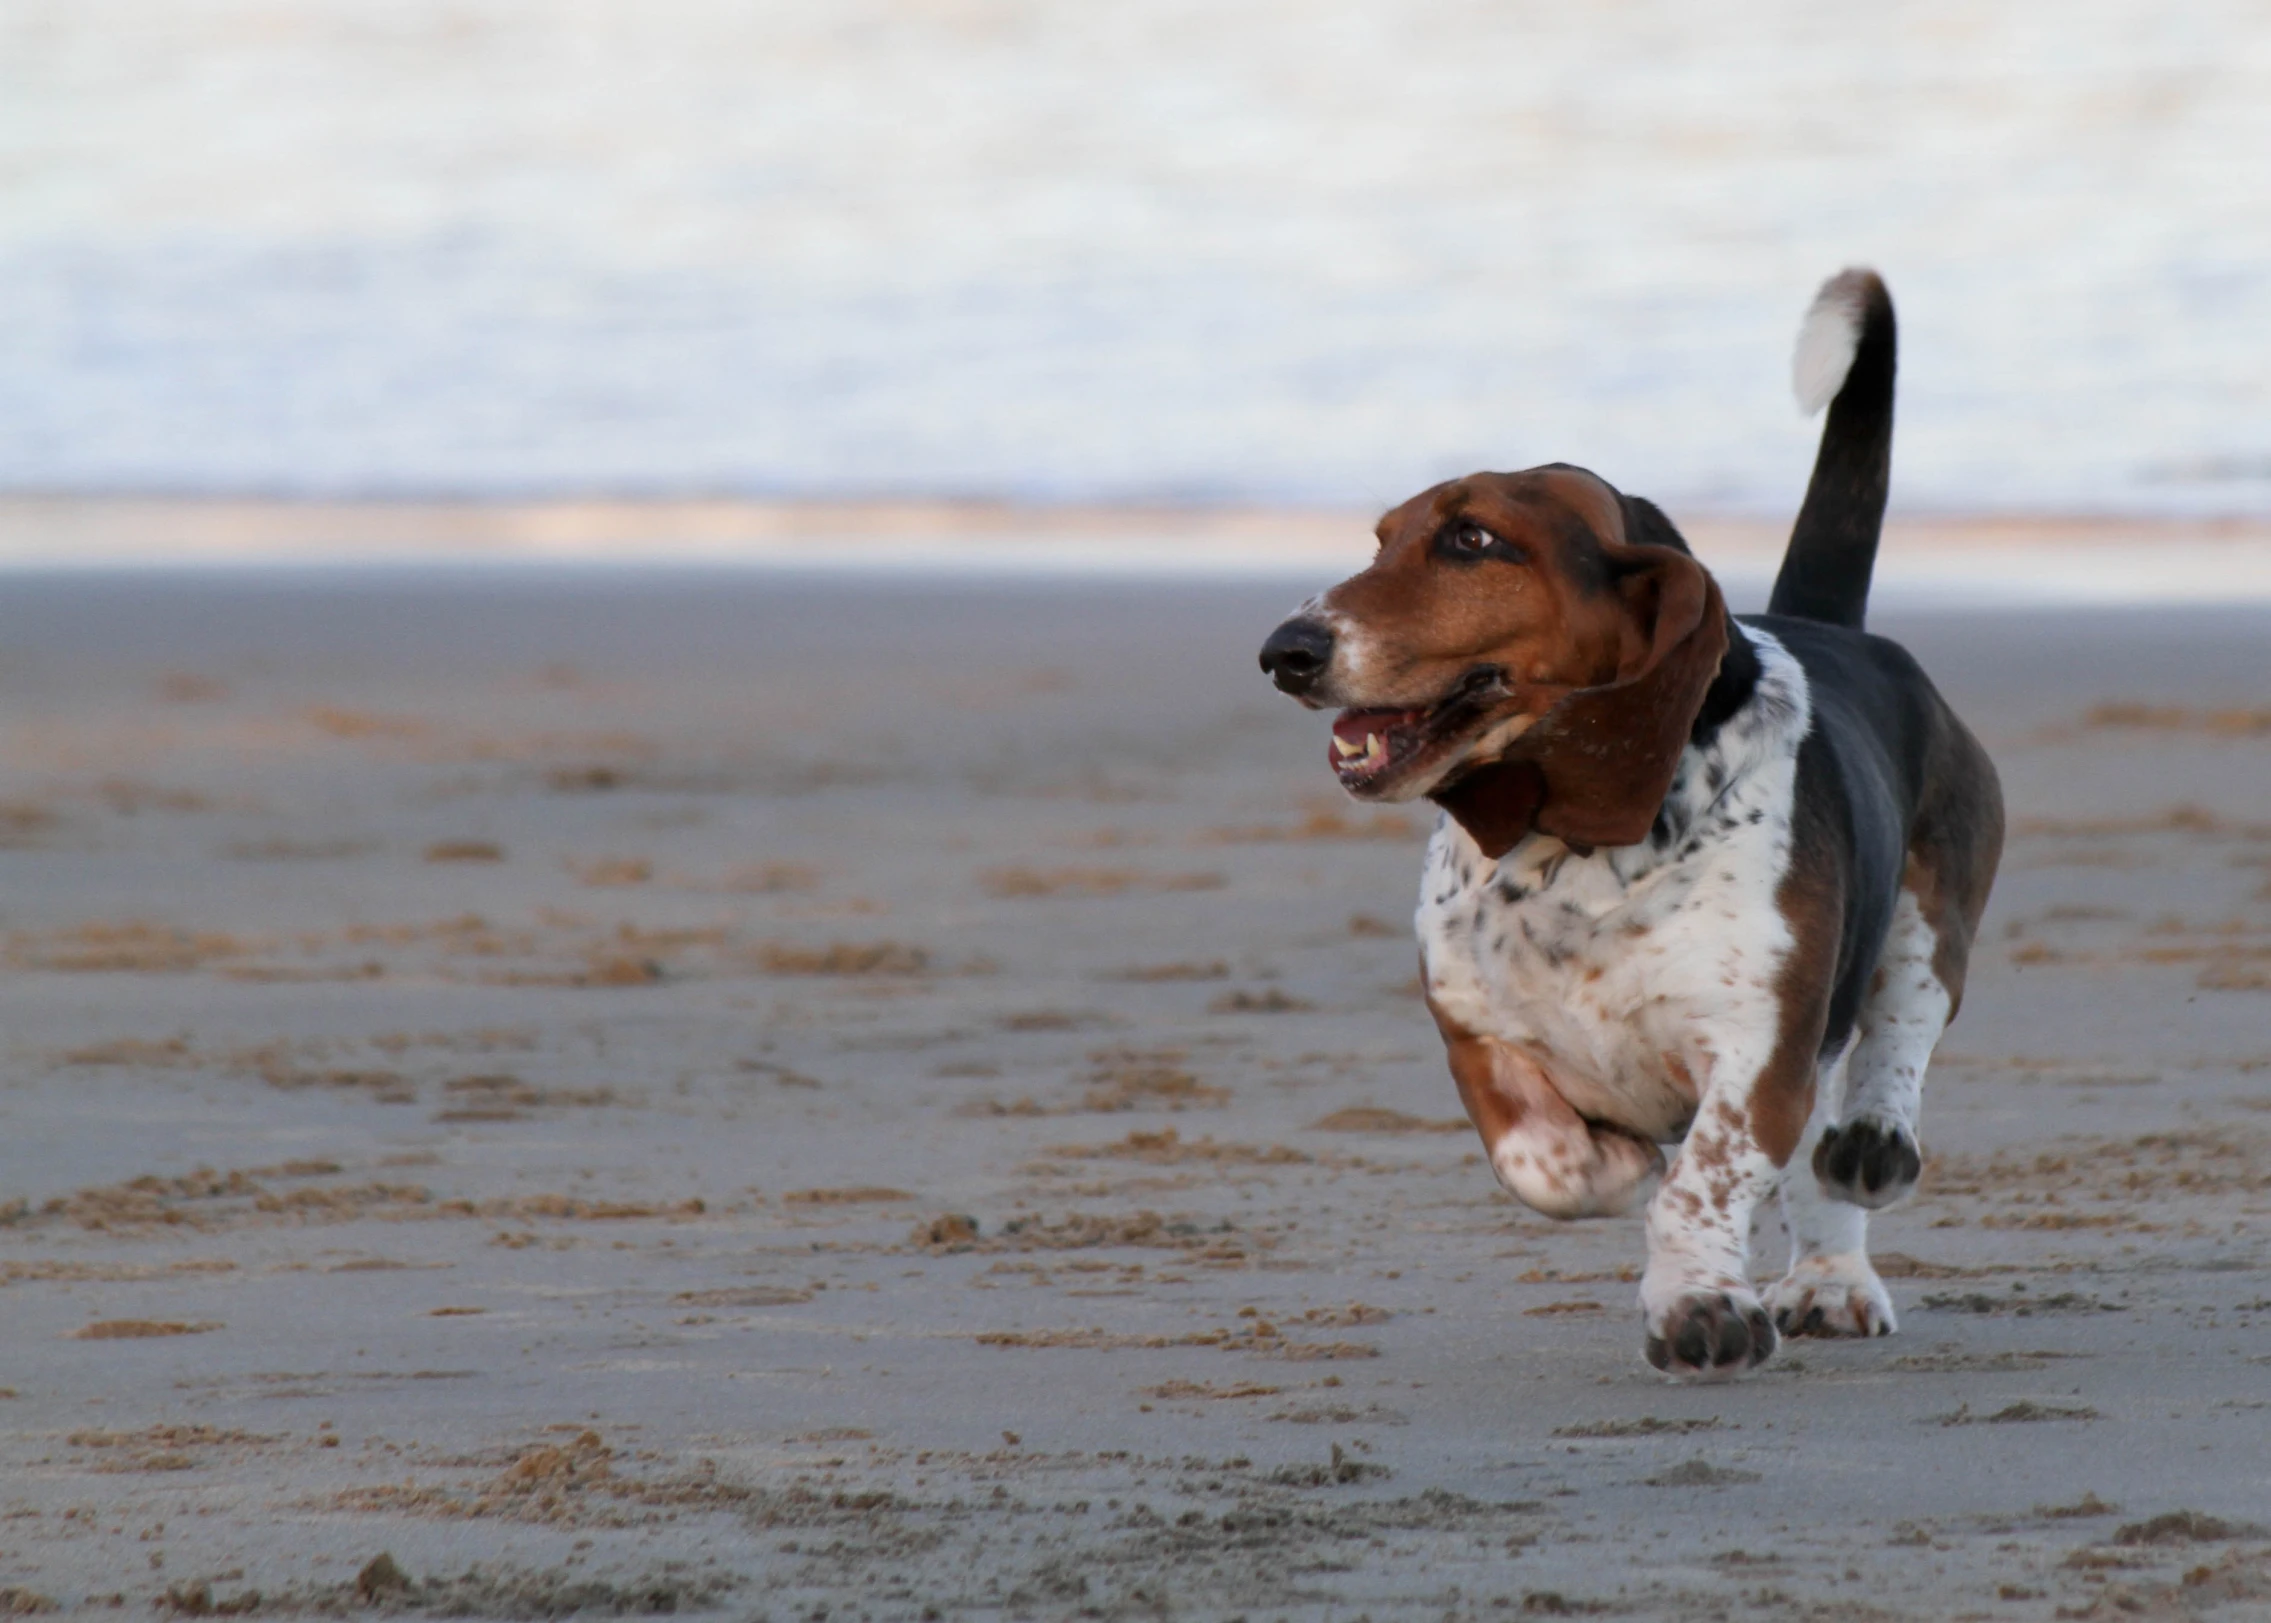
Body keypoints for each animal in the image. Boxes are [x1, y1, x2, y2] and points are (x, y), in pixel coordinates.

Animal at [1262, 270, 2007, 1380]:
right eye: (1382, 538)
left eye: (1473, 539)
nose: (1285, 650)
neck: (1574, 855)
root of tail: (1835, 629)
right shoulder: (1472, 1027)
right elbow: (1548, 1160)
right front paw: (1620, 1168)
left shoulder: (1756, 1058)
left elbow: (1704, 1176)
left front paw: (1698, 1302)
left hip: (1930, 912)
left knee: (1892, 1044)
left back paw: (1853, 1207)